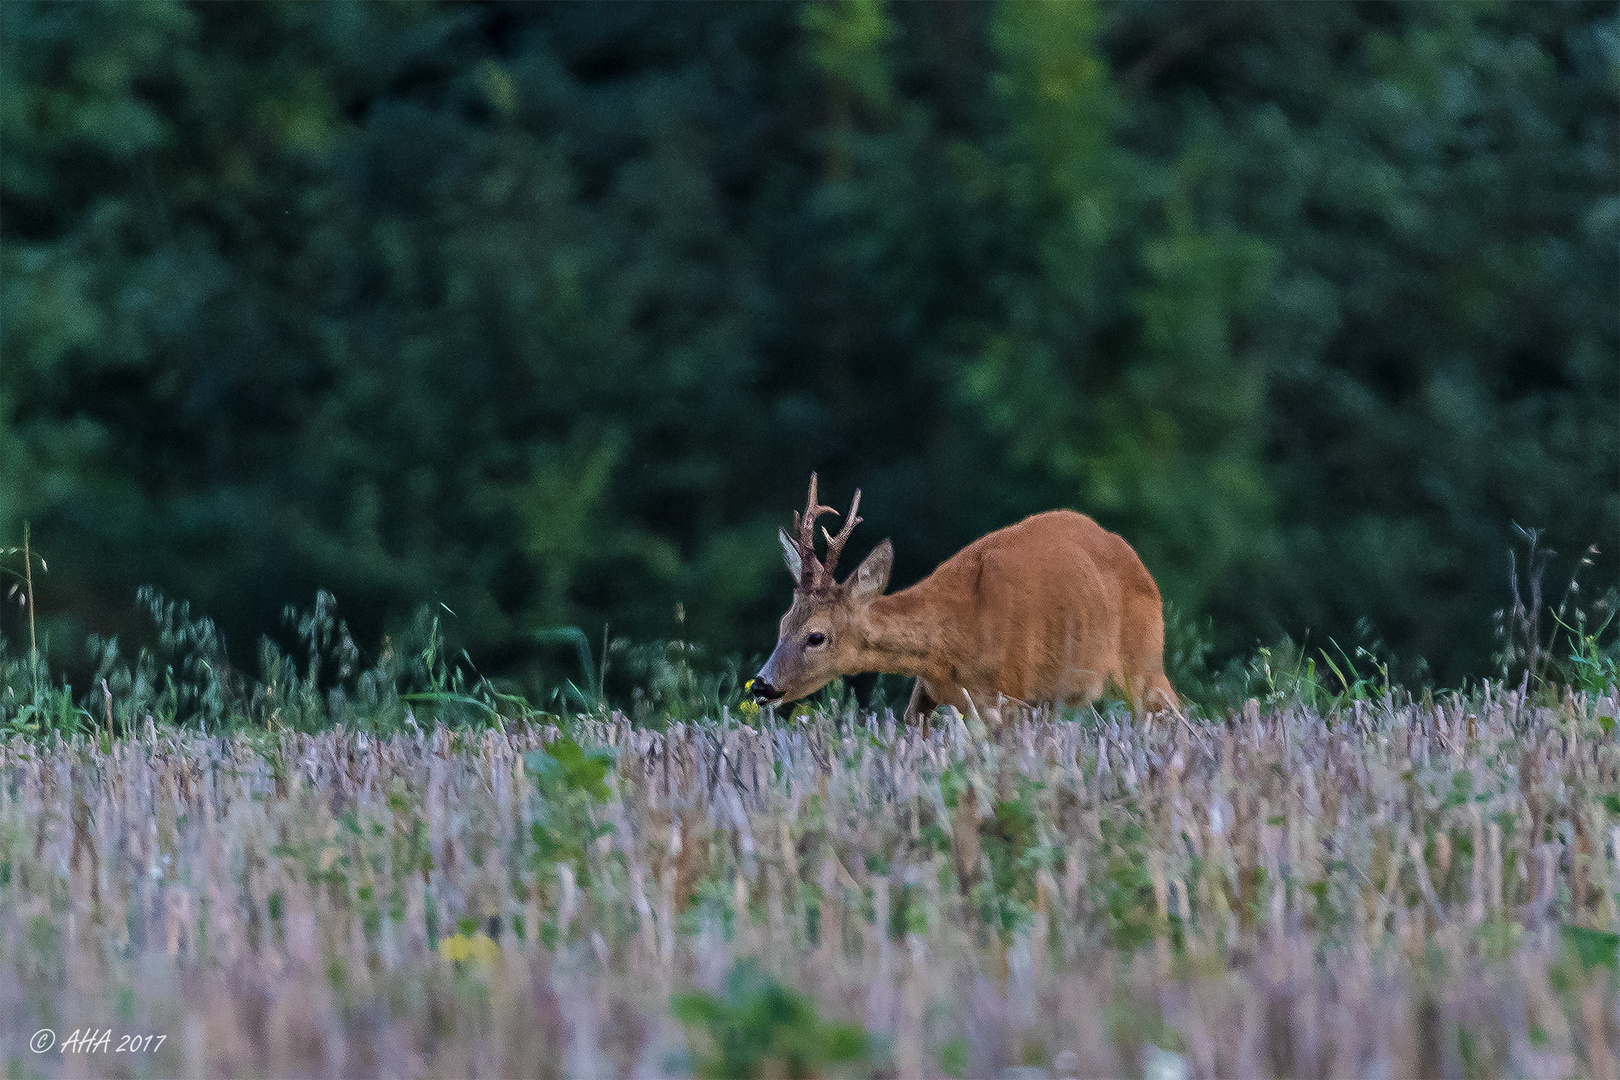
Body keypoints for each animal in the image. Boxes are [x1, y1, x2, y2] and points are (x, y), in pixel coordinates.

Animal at [745, 476, 1179, 722]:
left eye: (816, 636)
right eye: (783, 624)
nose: (761, 684)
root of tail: (1143, 569)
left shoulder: (1013, 693)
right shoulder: (929, 691)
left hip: (1143, 663)